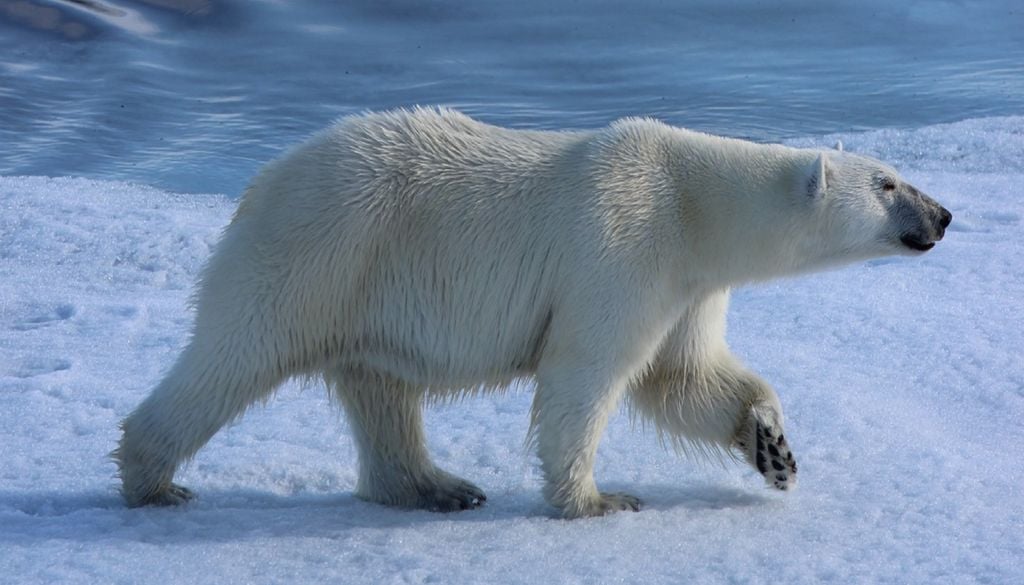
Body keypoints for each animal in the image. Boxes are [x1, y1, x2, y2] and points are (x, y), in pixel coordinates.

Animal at [114, 107, 951, 518]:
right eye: (887, 183)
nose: (943, 215)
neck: (692, 202)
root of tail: (260, 182)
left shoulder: (690, 282)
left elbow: (684, 377)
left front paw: (775, 449)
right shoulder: (623, 247)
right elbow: (589, 372)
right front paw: (598, 499)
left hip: (365, 283)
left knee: (380, 387)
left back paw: (437, 485)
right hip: (323, 251)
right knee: (234, 356)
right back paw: (152, 478)